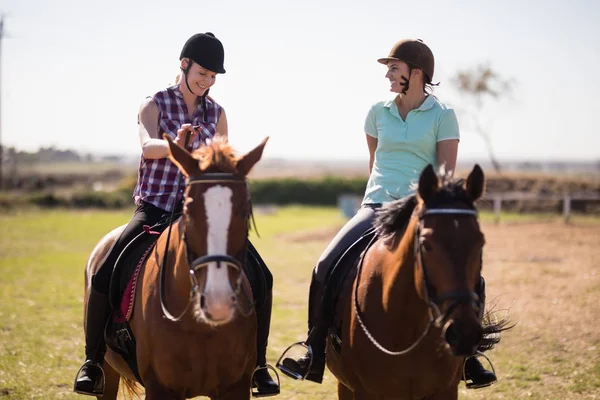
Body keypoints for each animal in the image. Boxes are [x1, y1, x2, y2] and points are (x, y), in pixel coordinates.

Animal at [81, 136, 268, 398]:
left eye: (245, 212)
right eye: (189, 212)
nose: (217, 301)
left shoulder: (235, 388)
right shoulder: (160, 388)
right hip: (107, 372)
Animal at [326, 163, 508, 400]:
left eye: (480, 242)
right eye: (426, 244)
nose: (464, 333)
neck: (408, 326)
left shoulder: (446, 391)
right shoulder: (363, 392)